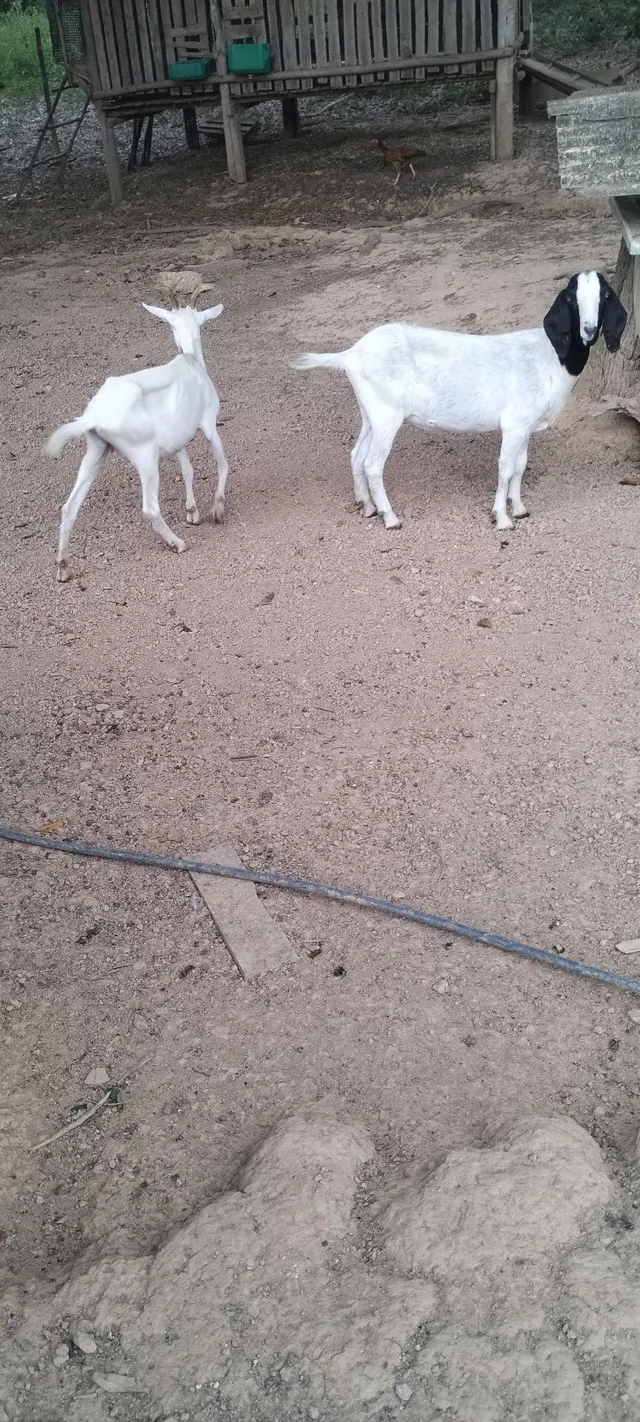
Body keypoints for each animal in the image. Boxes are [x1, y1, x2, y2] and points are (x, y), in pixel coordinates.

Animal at [46, 280, 228, 581]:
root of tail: (94, 414)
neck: (190, 362)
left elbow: (187, 470)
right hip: (145, 458)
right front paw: (218, 509)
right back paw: (178, 543)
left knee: (68, 508)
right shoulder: (209, 424)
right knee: (150, 508)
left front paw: (192, 512)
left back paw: (63, 567)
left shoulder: (178, 439)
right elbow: (223, 464)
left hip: (96, 452)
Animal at [291, 271, 627, 532]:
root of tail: (350, 354)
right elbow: (505, 467)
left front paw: (519, 508)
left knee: (356, 455)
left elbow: (520, 466)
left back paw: (366, 505)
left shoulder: (526, 427)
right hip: (387, 416)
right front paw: (502, 519)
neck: (550, 356)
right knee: (373, 464)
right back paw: (390, 517)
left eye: (605, 295)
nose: (588, 330)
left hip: (370, 412)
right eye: (571, 299)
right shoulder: (514, 424)